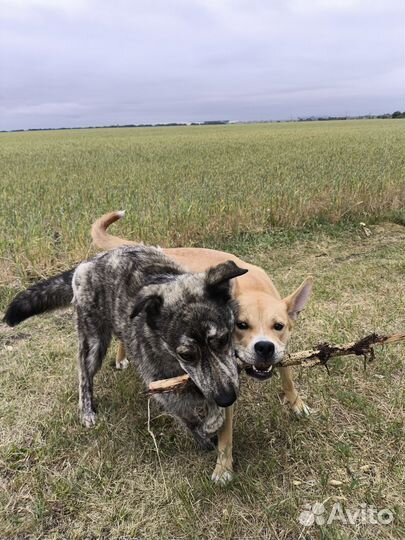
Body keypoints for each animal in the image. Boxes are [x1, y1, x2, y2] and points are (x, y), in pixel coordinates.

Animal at [4, 247, 248, 450]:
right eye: (185, 355)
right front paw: (205, 435)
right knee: (84, 374)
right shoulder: (166, 389)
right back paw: (86, 409)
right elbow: (189, 417)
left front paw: (214, 417)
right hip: (93, 342)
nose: (227, 398)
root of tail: (87, 264)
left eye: (224, 339)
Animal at [92, 209, 312, 484]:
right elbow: (225, 432)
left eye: (279, 326)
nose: (264, 347)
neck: (252, 288)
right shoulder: (223, 381)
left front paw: (296, 404)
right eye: (241, 325)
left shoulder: (281, 351)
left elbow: (287, 376)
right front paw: (224, 467)